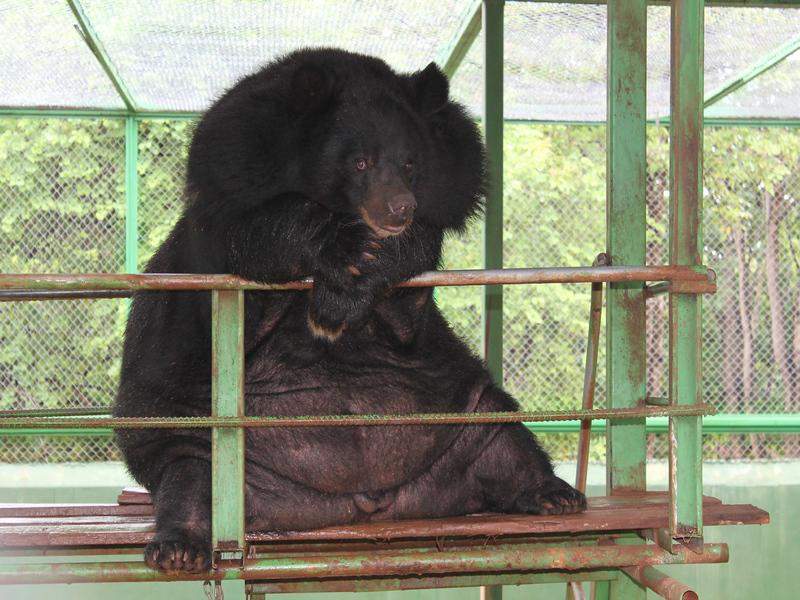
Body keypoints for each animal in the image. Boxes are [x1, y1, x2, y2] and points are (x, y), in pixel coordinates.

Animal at [113, 48, 586, 574]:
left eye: (410, 162)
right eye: (360, 162)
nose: (399, 208)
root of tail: (361, 501)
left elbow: (407, 305)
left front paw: (358, 283)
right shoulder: (229, 196)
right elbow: (255, 267)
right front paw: (338, 260)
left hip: (460, 419)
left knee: (503, 435)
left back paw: (554, 493)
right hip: (202, 439)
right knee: (191, 480)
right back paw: (178, 547)